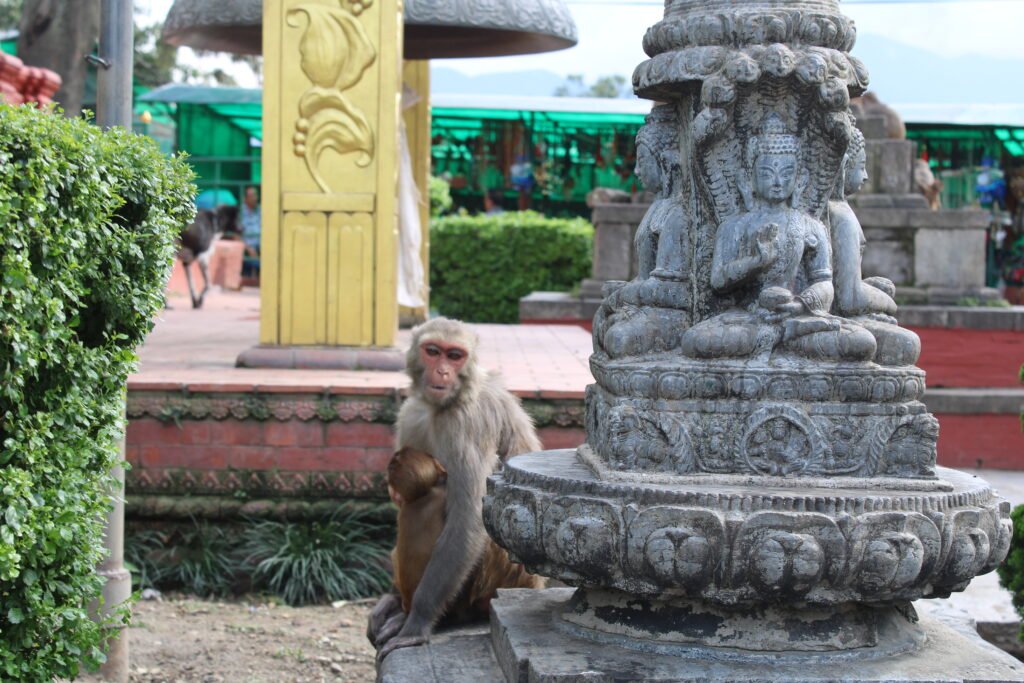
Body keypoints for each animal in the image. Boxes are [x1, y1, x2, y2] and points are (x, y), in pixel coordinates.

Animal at [367, 317, 543, 660]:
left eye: (455, 355)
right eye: (433, 351)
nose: (443, 372)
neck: (448, 402)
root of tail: (535, 587)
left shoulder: (466, 424)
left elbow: (469, 519)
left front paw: (417, 622)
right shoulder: (411, 414)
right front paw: (392, 600)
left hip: (499, 578)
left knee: (431, 502)